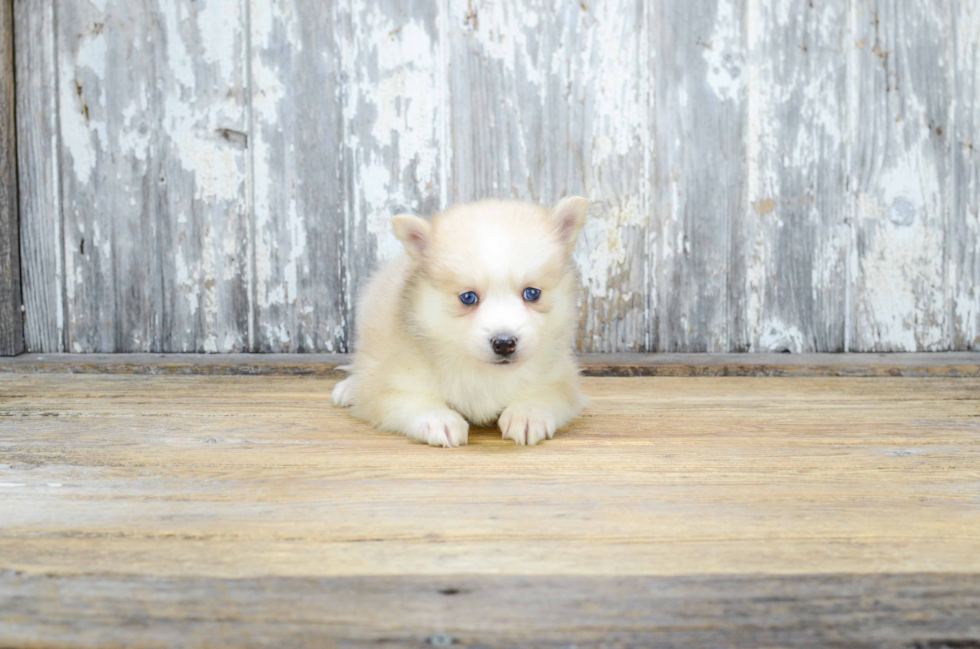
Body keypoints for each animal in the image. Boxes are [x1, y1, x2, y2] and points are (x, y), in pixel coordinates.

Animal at [334, 196, 584, 446]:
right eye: (468, 297)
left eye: (532, 293)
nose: (504, 343)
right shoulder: (391, 381)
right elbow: (410, 399)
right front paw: (438, 419)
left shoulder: (561, 375)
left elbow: (548, 393)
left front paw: (528, 414)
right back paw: (348, 388)